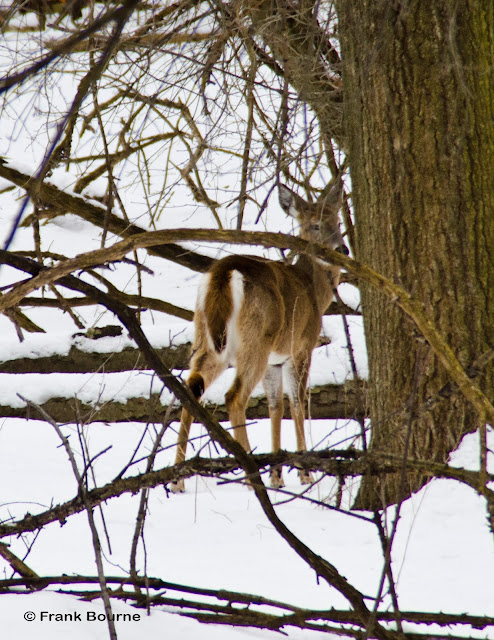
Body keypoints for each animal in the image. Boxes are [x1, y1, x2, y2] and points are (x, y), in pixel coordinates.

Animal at [171, 182, 348, 492]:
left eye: (338, 222)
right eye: (314, 225)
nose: (342, 248)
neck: (314, 292)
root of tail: (224, 273)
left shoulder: (275, 360)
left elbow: (275, 406)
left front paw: (278, 475)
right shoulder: (301, 346)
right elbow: (297, 402)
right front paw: (304, 472)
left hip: (206, 337)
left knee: (192, 387)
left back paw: (178, 478)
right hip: (256, 339)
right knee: (234, 396)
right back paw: (249, 474)